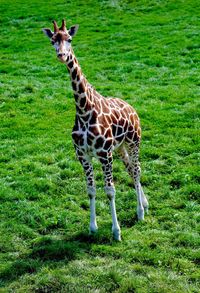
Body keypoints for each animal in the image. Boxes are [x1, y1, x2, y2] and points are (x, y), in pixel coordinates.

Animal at [42, 20, 148, 240]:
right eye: (53, 40)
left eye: (69, 39)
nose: (61, 55)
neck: (84, 111)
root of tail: (132, 108)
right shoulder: (83, 155)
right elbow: (91, 189)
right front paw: (93, 228)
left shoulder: (104, 154)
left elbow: (110, 190)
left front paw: (116, 232)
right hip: (120, 147)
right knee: (131, 169)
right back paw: (144, 204)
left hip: (134, 141)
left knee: (137, 170)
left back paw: (141, 212)